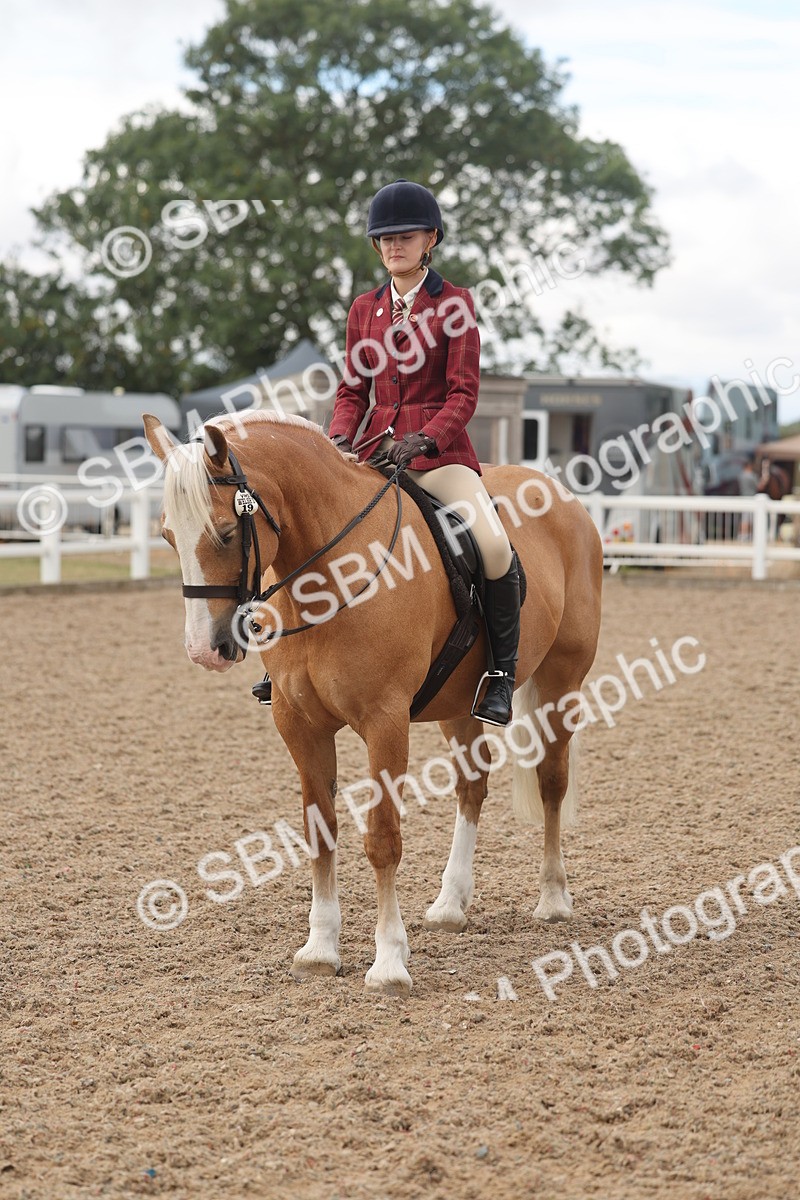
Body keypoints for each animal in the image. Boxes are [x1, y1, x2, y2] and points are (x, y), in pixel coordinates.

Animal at [143, 410, 603, 997]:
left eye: (225, 533)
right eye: (167, 535)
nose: (205, 649)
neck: (332, 575)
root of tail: (559, 493)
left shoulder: (385, 723)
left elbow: (383, 837)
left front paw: (388, 963)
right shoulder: (300, 726)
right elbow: (320, 831)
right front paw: (320, 949)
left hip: (562, 680)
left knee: (551, 779)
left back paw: (553, 898)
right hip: (459, 703)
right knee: (472, 784)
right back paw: (450, 904)